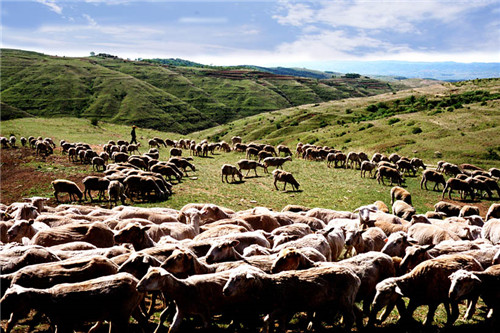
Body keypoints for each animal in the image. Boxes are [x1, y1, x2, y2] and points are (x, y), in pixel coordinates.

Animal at [0, 272, 145, 332]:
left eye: (10, 298)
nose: (0, 306)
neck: (48, 299)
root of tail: (135, 281)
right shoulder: (61, 323)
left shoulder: (66, 323)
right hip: (131, 309)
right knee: (143, 320)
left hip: (123, 313)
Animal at [222, 262, 360, 330]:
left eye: (238, 279)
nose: (225, 291)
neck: (270, 286)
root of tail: (355, 277)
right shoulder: (283, 311)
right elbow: (281, 326)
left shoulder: (282, 307)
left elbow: (266, 320)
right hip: (347, 299)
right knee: (356, 313)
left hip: (345, 300)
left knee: (351, 318)